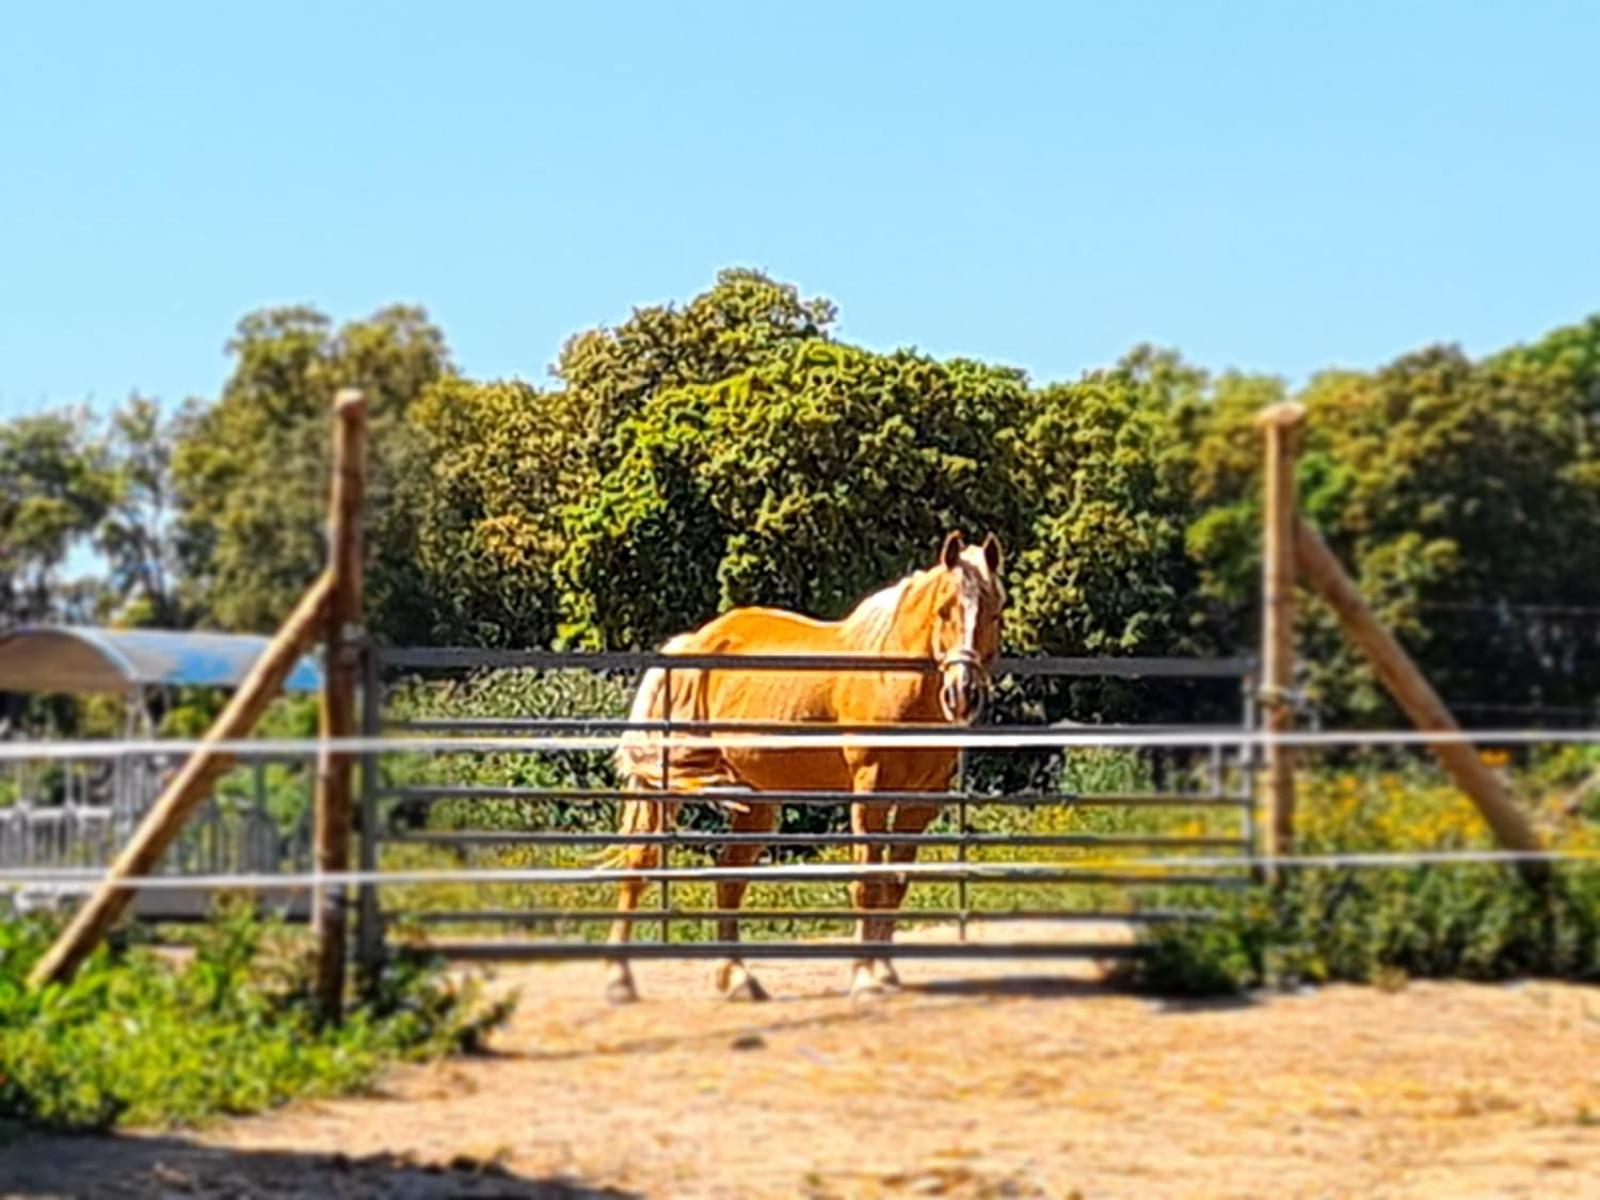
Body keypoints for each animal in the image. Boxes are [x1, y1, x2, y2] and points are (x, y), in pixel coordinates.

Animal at [601, 534, 998, 1004]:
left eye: (994, 611)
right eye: (944, 609)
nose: (963, 694)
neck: (894, 681)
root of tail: (693, 642)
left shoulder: (920, 803)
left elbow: (895, 883)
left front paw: (886, 973)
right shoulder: (870, 794)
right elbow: (867, 883)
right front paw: (865, 979)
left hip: (757, 800)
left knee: (729, 877)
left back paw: (738, 979)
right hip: (665, 786)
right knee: (639, 866)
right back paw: (620, 980)